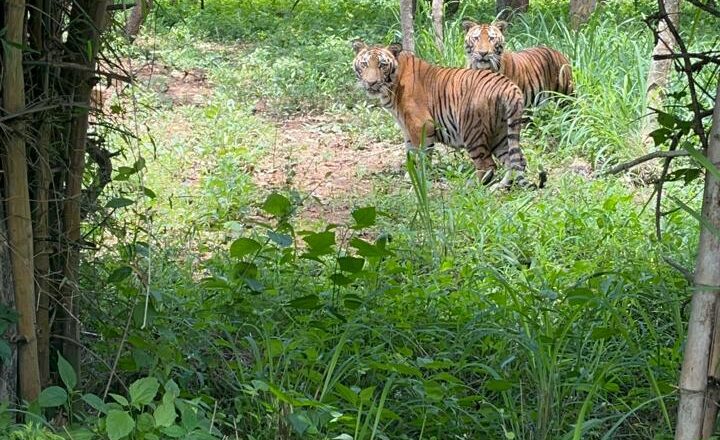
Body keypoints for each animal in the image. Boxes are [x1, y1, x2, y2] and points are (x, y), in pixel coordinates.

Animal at [351, 40, 543, 189]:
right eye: (365, 64)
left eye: (382, 65)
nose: (371, 83)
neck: (392, 86)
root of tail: (510, 86)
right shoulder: (407, 128)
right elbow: (410, 153)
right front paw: (411, 176)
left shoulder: (420, 125)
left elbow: (421, 155)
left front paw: (418, 180)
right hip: (502, 133)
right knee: (516, 161)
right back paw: (500, 187)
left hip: (472, 131)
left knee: (487, 165)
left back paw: (473, 187)